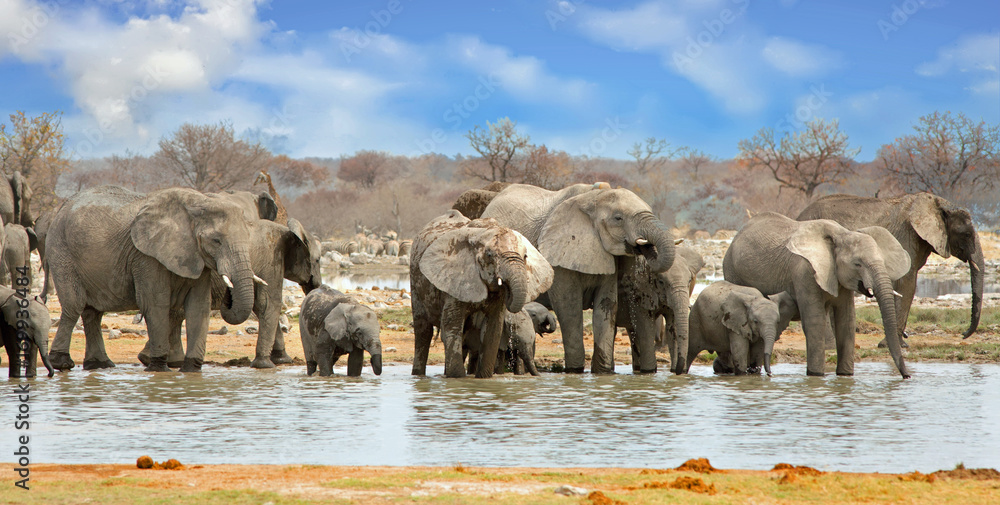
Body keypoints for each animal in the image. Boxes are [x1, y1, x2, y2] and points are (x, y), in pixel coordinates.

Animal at [46, 186, 257, 372]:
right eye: (216, 241)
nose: (229, 293)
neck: (198, 203)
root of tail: (62, 206)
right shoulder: (146, 257)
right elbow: (156, 303)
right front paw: (158, 368)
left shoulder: (196, 258)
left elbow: (199, 307)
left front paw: (191, 370)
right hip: (61, 251)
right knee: (74, 305)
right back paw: (62, 363)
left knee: (93, 313)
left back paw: (100, 365)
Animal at [410, 210, 553, 378]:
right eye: (490, 255)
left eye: (525, 256)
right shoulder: (455, 281)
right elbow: (452, 326)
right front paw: (457, 378)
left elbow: (492, 330)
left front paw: (483, 378)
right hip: (415, 280)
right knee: (423, 331)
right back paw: (418, 375)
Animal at [481, 183, 676, 374]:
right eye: (618, 218)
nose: (644, 247)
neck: (594, 197)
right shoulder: (559, 256)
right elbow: (569, 308)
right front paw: (575, 371)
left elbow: (606, 305)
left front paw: (603, 372)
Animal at [723, 212, 912, 378]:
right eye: (857, 264)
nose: (906, 376)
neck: (841, 233)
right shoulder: (805, 273)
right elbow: (814, 322)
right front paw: (816, 375)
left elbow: (846, 322)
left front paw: (845, 376)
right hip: (732, 271)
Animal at [797, 193, 985, 343]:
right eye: (967, 234)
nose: (963, 334)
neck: (938, 204)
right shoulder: (906, 236)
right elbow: (906, 283)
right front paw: (893, 344)